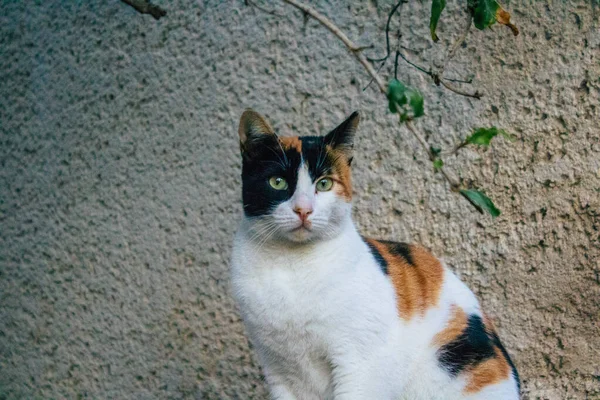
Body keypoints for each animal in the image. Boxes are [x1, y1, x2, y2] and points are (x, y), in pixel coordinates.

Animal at [230, 110, 520, 400]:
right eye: (277, 182)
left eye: (324, 184)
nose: (303, 209)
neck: (291, 265)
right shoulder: (279, 370)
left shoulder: (360, 364)